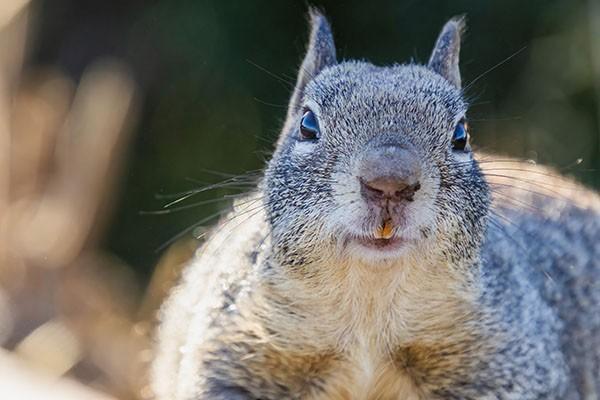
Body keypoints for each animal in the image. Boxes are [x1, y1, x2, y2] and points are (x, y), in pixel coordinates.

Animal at [151, 9, 600, 400]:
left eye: (461, 135)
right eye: (307, 124)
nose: (389, 182)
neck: (370, 308)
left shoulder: (509, 356)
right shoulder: (234, 346)